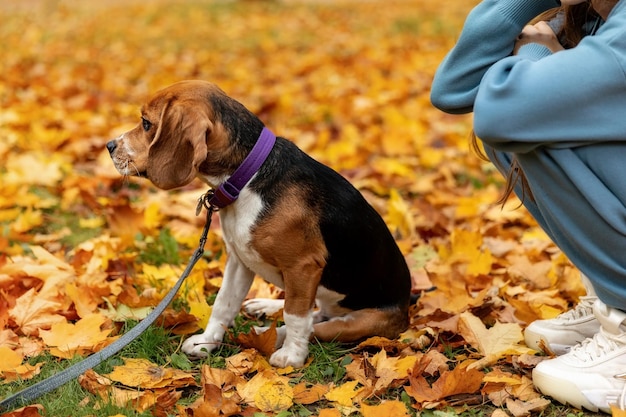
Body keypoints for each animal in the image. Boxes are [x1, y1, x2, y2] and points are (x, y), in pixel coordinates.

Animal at [107, 79, 410, 366]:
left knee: (317, 325)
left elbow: (296, 315)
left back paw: (270, 335)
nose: (109, 146)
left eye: (147, 123)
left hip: (362, 321)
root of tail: (408, 305)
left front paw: (292, 357)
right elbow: (224, 303)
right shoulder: (239, 259)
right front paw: (207, 341)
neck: (248, 177)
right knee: (316, 313)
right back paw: (264, 308)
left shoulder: (303, 266)